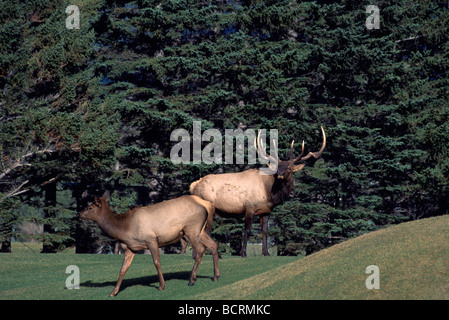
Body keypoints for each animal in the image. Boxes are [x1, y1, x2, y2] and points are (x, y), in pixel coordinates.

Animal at [78, 194, 219, 296]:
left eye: (90, 207)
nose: (79, 213)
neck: (123, 229)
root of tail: (207, 204)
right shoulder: (129, 249)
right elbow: (123, 269)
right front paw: (113, 292)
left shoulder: (151, 239)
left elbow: (156, 262)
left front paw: (161, 285)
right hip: (201, 231)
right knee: (213, 245)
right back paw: (215, 276)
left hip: (191, 229)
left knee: (200, 249)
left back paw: (191, 280)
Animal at [189, 126, 326, 256]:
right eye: (277, 166)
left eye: (289, 168)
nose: (279, 173)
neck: (270, 194)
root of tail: (193, 186)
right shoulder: (249, 208)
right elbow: (247, 230)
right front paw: (243, 253)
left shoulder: (266, 211)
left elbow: (265, 231)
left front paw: (266, 253)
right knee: (204, 231)